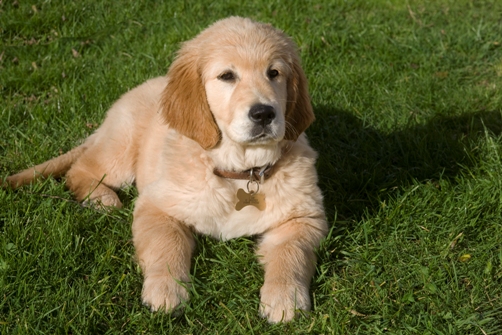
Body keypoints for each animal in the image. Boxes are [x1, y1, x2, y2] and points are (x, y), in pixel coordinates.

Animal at [7, 17, 330, 324]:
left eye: (274, 73)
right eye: (227, 76)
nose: (264, 113)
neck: (241, 171)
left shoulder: (303, 217)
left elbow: (291, 254)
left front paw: (285, 297)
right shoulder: (157, 204)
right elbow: (166, 245)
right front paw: (166, 290)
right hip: (121, 150)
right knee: (79, 169)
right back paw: (102, 199)